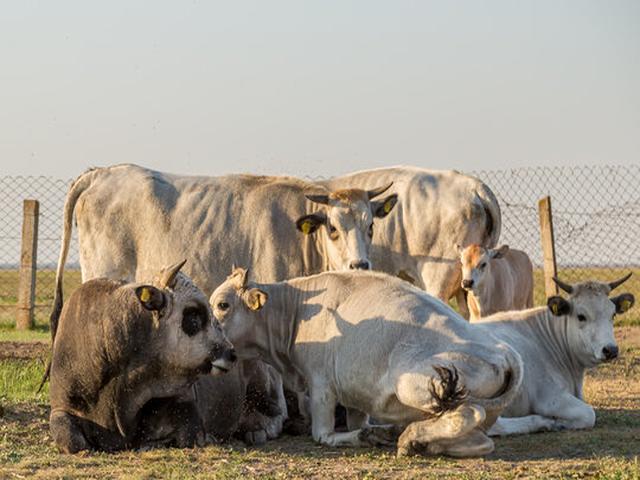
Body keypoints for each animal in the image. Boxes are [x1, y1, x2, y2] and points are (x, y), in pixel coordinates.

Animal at [209, 268, 524, 457]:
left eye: (222, 305)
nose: (214, 348)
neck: (295, 310)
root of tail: (503, 351)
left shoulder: (321, 386)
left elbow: (323, 435)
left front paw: (364, 436)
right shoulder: (355, 396)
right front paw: (368, 432)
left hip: (414, 385)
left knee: (469, 413)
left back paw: (408, 437)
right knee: (478, 440)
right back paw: (416, 439)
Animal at [470, 274, 634, 436]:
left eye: (613, 315)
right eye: (581, 316)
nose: (611, 350)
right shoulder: (549, 397)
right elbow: (588, 414)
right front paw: (559, 422)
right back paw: (541, 422)